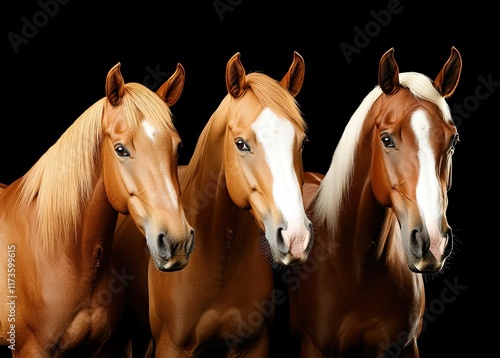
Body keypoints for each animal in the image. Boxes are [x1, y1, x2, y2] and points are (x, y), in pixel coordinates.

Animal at [113, 51, 312, 356]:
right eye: (241, 144)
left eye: (301, 142)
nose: (296, 238)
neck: (220, 264)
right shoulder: (172, 346)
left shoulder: (253, 345)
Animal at [288, 47, 462, 358]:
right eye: (386, 139)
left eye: (453, 141)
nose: (432, 242)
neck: (357, 266)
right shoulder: (313, 348)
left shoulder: (406, 346)